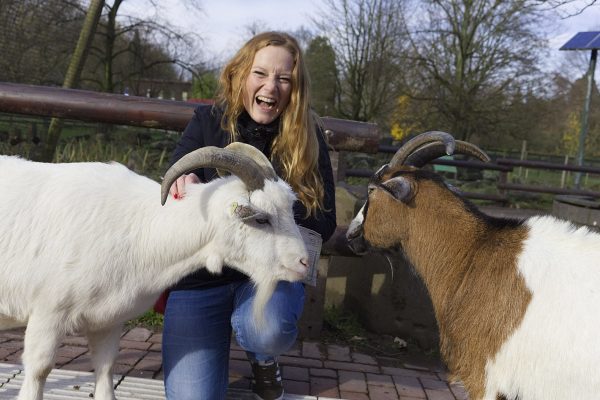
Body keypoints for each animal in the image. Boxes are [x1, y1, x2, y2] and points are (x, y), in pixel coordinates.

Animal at [0, 144, 310, 400]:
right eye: (261, 219)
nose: (304, 263)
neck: (143, 229)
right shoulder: (48, 313)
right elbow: (39, 370)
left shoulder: (106, 320)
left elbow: (105, 368)